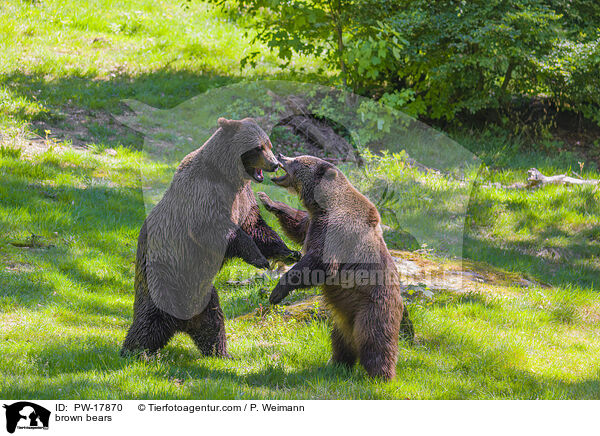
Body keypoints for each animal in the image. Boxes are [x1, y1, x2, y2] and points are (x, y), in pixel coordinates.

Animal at [120, 117, 300, 356]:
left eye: (268, 144)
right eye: (258, 147)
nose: (274, 164)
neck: (227, 176)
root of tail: (181, 321)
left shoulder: (243, 197)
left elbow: (256, 227)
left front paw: (290, 252)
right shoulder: (204, 194)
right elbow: (217, 230)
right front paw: (258, 258)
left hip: (205, 296)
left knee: (213, 324)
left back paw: (221, 353)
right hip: (164, 280)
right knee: (147, 323)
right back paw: (134, 352)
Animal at [258, 155, 408, 380]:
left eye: (297, 161)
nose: (282, 157)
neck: (325, 204)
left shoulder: (338, 229)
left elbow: (321, 264)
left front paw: (277, 292)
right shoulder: (314, 223)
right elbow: (298, 226)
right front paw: (268, 200)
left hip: (373, 306)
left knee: (376, 341)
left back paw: (380, 375)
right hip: (342, 319)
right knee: (341, 340)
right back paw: (337, 363)